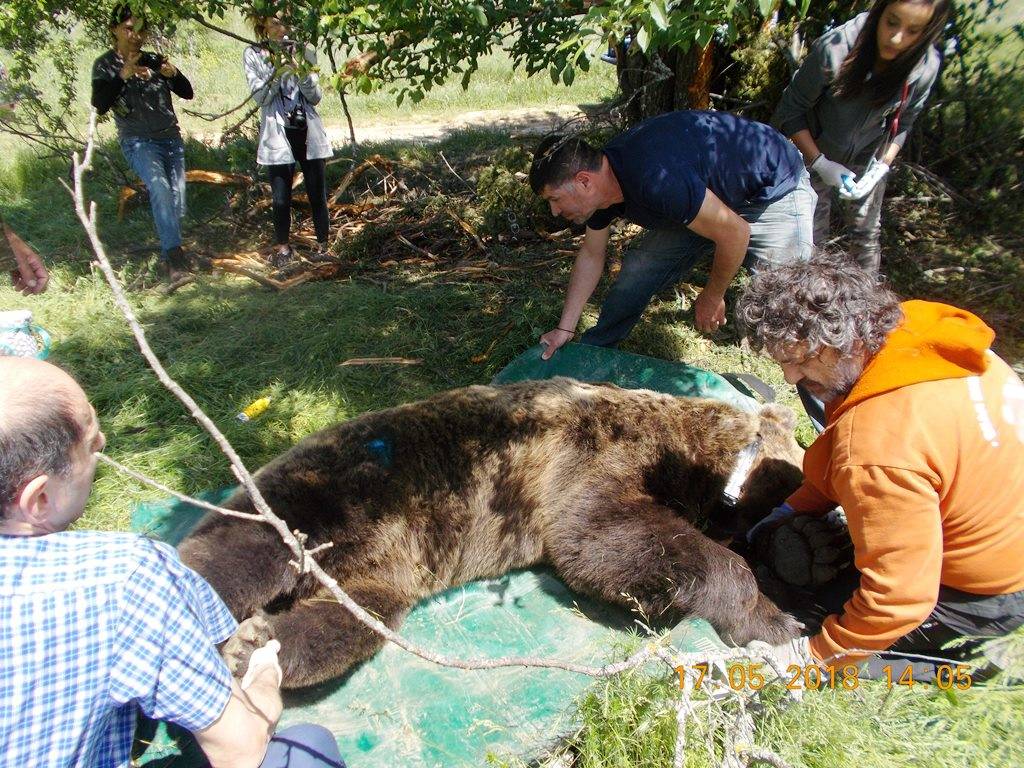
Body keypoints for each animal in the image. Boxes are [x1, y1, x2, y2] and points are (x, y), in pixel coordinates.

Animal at [182, 376, 806, 688]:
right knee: (237, 557)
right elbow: (604, 539)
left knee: (343, 627)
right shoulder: (587, 461)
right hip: (316, 496)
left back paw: (254, 645)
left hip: (377, 575)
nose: (764, 543)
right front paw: (773, 617)